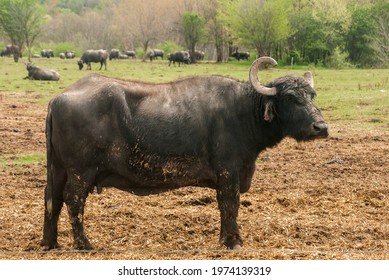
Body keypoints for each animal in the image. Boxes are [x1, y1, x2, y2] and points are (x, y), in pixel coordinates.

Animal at [41, 56, 328, 249]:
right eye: (291, 98)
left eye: (311, 95)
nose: (321, 127)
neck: (243, 111)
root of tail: (58, 99)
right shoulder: (229, 171)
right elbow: (230, 204)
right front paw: (232, 240)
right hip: (81, 171)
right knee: (74, 200)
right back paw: (84, 244)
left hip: (58, 168)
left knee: (52, 198)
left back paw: (49, 242)